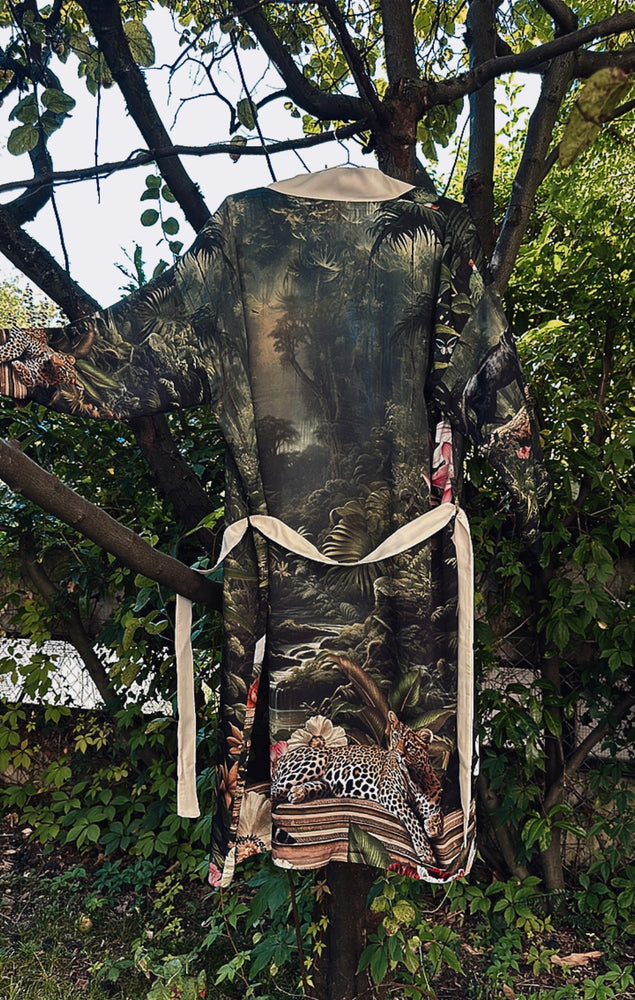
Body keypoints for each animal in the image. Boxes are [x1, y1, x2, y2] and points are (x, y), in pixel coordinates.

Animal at [271, 711, 444, 866]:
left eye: (409, 745)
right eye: (395, 738)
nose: (398, 754)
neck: (417, 778)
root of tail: (281, 758)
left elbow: (438, 815)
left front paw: (432, 827)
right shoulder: (389, 792)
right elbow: (411, 817)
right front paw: (426, 851)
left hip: (325, 783)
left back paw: (298, 793)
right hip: (317, 760)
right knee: (274, 790)